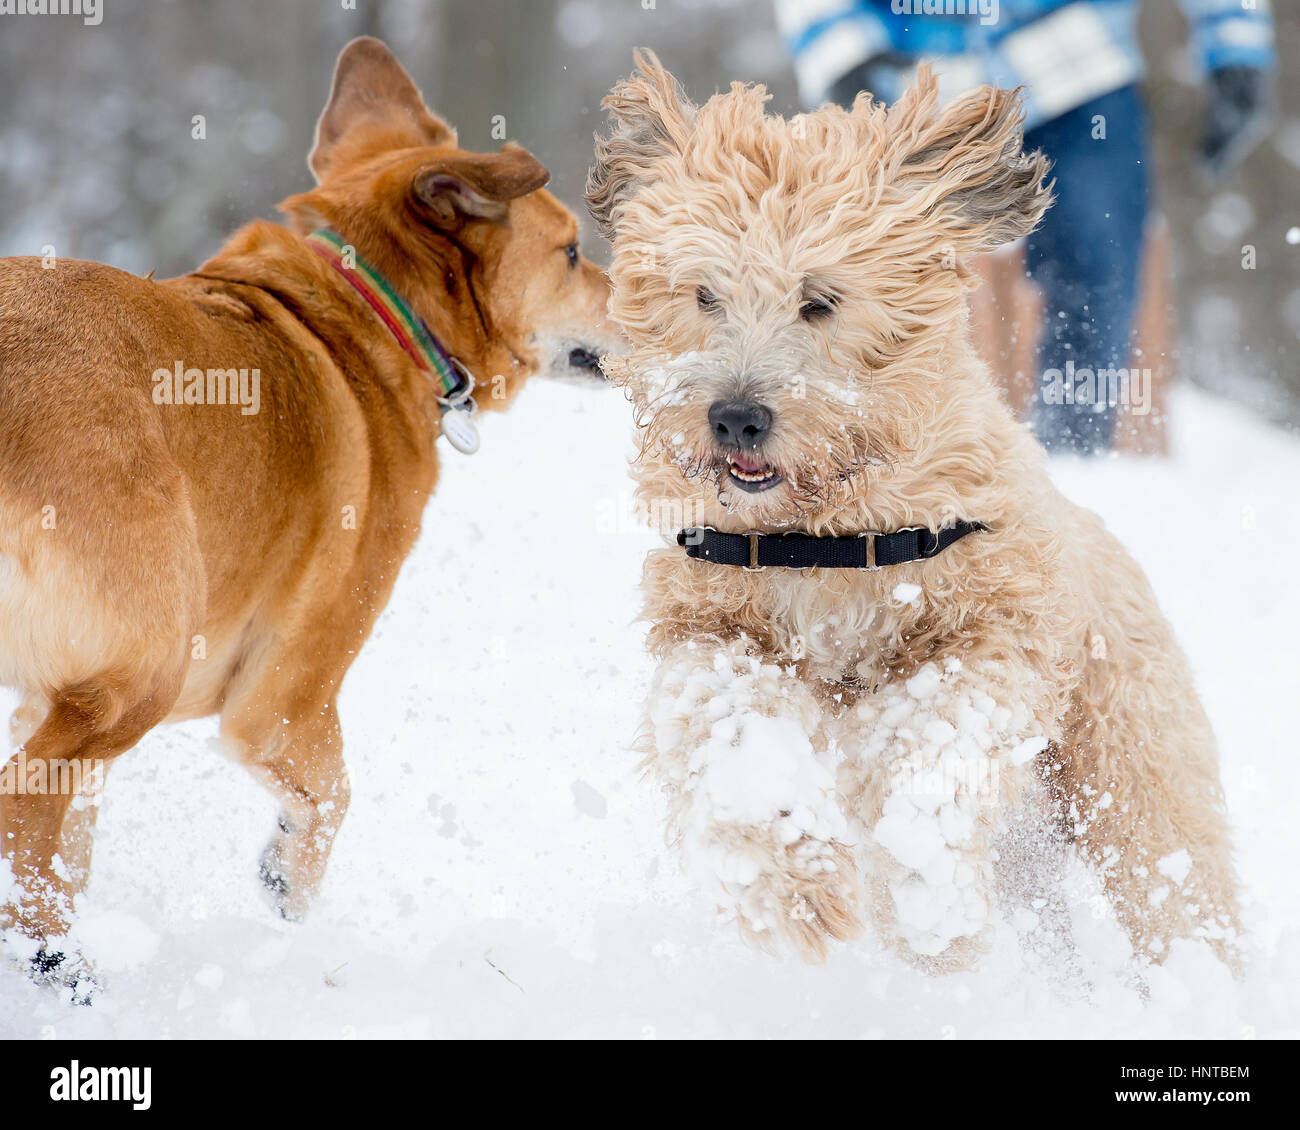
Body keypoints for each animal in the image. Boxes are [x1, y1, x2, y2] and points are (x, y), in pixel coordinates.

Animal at [0, 35, 618, 993]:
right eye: (574, 252)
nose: (641, 306)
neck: (364, 314)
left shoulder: (45, 690)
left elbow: (76, 845)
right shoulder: (287, 698)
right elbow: (329, 797)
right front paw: (286, 878)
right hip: (151, 665)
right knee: (19, 802)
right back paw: (62, 971)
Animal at [590, 52, 1237, 967]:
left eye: (820, 300)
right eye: (704, 294)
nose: (735, 416)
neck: (824, 531)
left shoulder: (995, 629)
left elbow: (934, 731)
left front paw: (923, 884)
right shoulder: (709, 629)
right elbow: (729, 724)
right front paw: (796, 881)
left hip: (1138, 784)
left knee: (1179, 893)